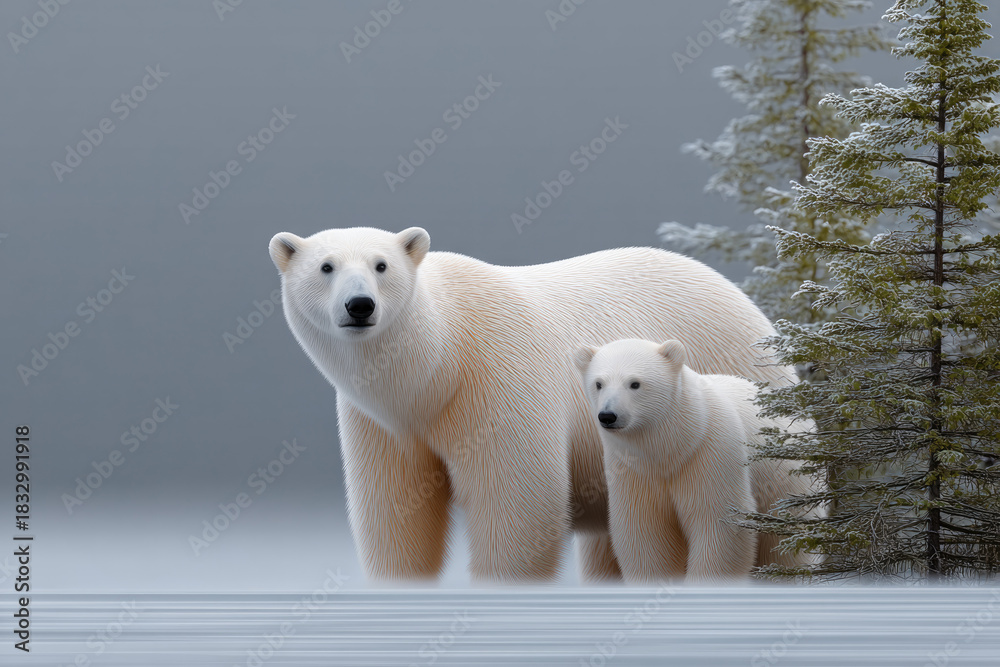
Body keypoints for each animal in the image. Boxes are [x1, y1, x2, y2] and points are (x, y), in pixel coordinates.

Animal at [572, 338, 819, 582]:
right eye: (598, 383)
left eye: (635, 383)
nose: (608, 416)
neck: (673, 448)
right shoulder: (632, 470)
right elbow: (646, 533)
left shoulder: (710, 454)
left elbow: (719, 525)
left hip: (787, 485)